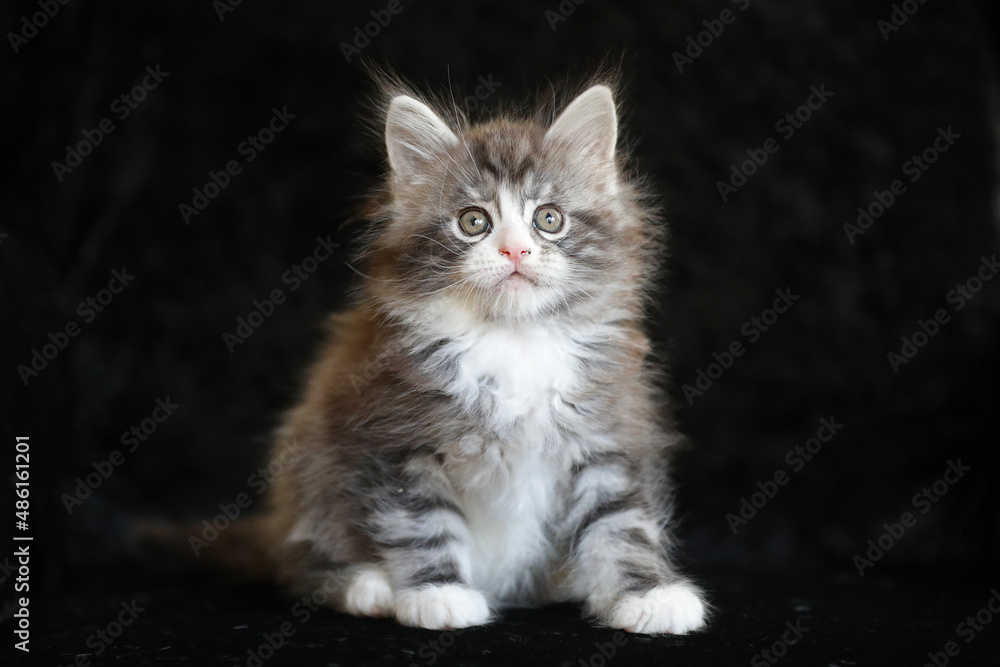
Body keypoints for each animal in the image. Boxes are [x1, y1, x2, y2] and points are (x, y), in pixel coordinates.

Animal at [249, 75, 708, 636]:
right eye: (474, 222)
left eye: (548, 219)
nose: (515, 250)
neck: (515, 340)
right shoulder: (397, 438)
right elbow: (423, 521)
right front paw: (437, 594)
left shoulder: (607, 434)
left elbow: (622, 523)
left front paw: (648, 595)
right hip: (310, 466)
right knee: (302, 558)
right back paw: (368, 585)